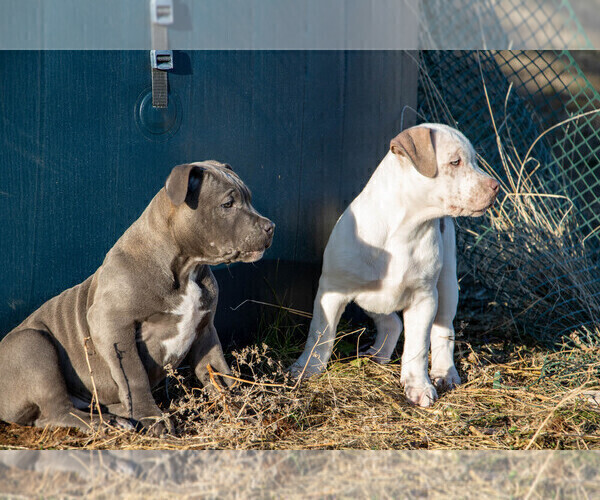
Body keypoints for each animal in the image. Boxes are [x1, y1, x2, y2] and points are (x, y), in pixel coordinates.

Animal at [0, 160, 276, 434]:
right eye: (227, 204)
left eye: (249, 199)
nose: (270, 227)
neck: (186, 269)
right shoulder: (111, 324)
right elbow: (134, 376)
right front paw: (153, 418)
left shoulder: (205, 330)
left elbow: (220, 371)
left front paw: (242, 407)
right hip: (32, 345)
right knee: (59, 410)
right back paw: (108, 424)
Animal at [288, 124, 500, 406]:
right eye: (456, 162)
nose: (496, 187)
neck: (405, 228)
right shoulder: (332, 291)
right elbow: (319, 334)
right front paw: (306, 369)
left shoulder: (424, 299)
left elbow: (417, 348)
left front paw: (418, 386)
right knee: (392, 323)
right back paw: (377, 355)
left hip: (446, 286)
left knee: (443, 330)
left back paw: (445, 373)